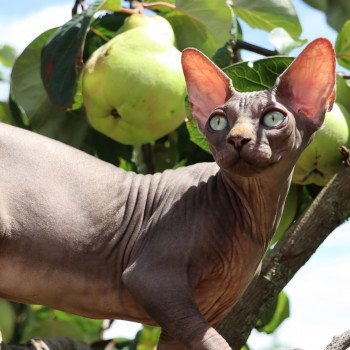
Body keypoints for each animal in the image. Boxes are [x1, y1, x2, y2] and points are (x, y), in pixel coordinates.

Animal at [0, 37, 334, 348]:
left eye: (273, 118)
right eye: (218, 122)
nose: (238, 139)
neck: (253, 217)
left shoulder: (187, 319)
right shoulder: (152, 277)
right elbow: (216, 342)